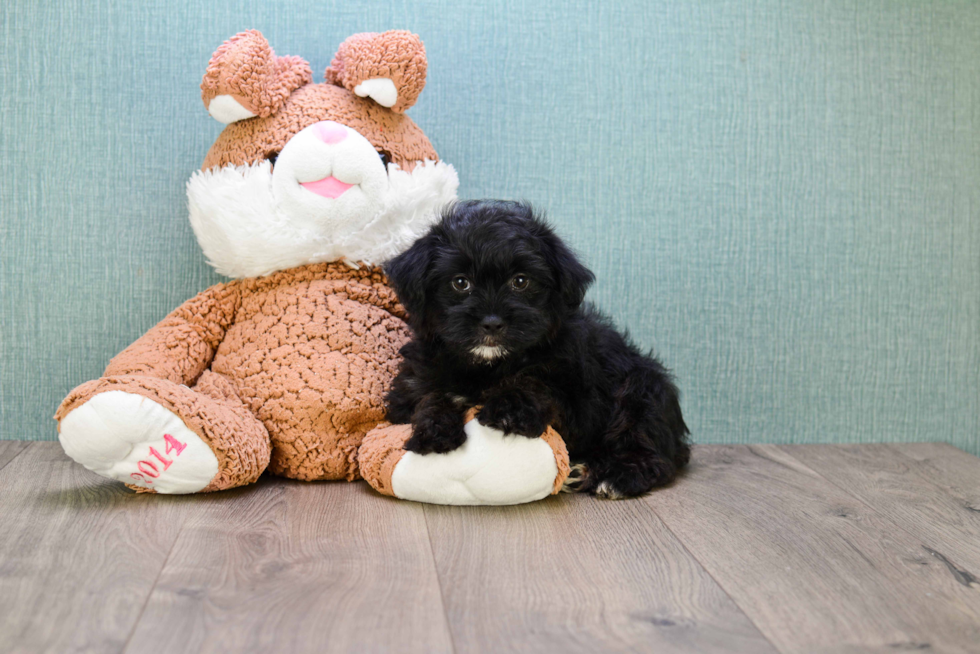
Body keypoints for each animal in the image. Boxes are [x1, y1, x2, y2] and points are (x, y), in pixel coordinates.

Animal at [382, 202, 688, 500]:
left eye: (520, 281)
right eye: (460, 282)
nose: (492, 322)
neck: (488, 367)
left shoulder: (577, 397)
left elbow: (534, 380)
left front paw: (510, 407)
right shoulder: (413, 383)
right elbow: (429, 395)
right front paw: (435, 429)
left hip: (641, 390)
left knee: (648, 447)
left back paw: (613, 476)